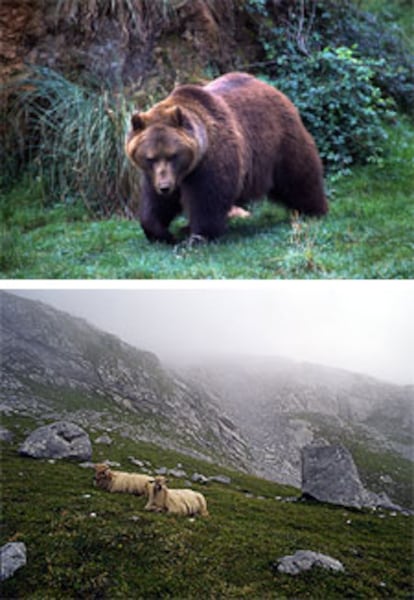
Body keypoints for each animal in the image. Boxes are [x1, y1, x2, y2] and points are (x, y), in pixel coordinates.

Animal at [124, 71, 328, 245]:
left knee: (299, 178)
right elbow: (155, 205)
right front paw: (163, 234)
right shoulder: (154, 176)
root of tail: (272, 88)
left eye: (173, 155)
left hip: (281, 143)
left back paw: (313, 210)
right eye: (150, 158)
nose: (165, 187)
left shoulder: (211, 162)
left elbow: (208, 200)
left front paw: (197, 237)